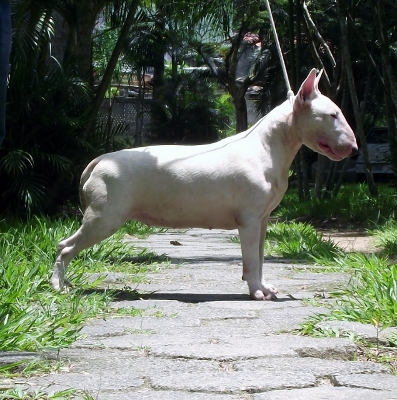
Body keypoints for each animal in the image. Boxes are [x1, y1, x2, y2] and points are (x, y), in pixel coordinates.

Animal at [51, 69, 358, 300]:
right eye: (333, 114)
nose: (354, 148)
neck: (269, 145)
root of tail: (100, 160)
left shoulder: (262, 220)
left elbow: (259, 257)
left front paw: (264, 287)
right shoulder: (249, 220)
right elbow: (251, 259)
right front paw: (257, 292)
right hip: (104, 217)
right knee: (65, 246)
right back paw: (58, 286)